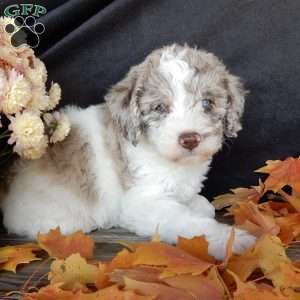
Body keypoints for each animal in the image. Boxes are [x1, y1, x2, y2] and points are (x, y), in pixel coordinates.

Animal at [2, 44, 255, 260]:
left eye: (207, 103)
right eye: (160, 107)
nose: (190, 139)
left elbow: (201, 204)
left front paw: (198, 204)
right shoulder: (143, 202)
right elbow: (191, 224)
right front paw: (233, 242)